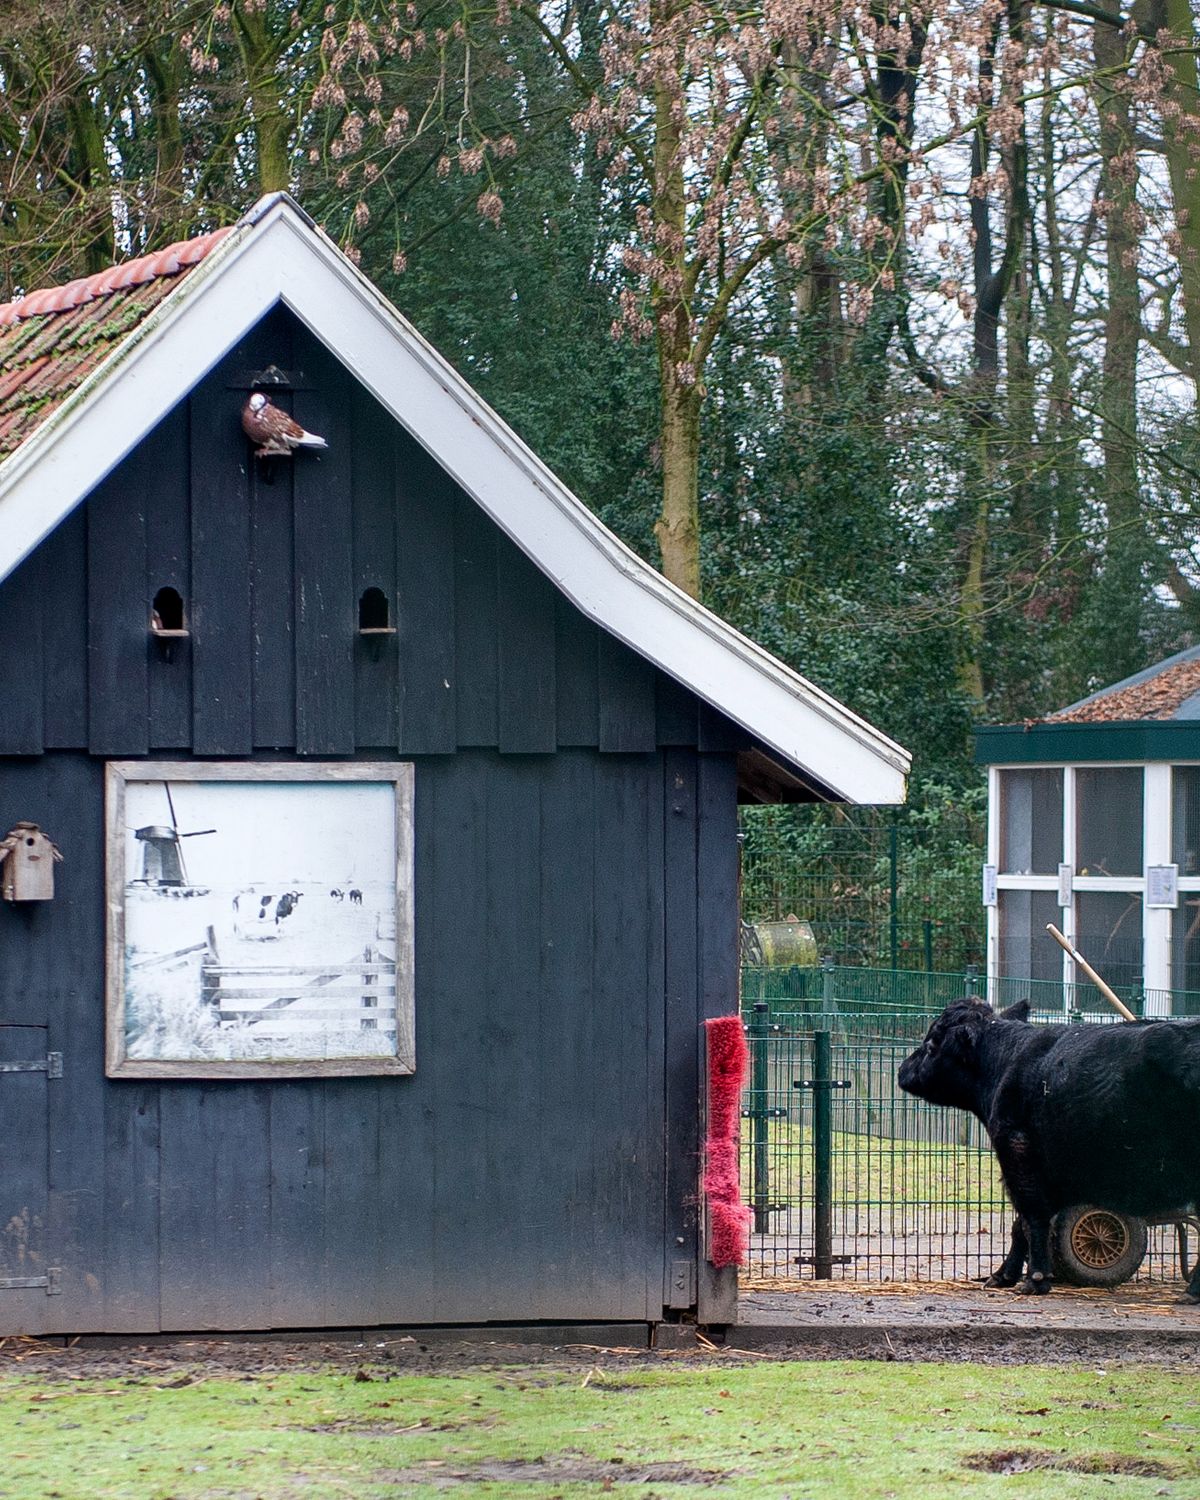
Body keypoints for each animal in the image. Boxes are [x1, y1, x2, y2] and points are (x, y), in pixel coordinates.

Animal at [894, 996, 1200, 1302]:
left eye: (932, 1043)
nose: (902, 1069)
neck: (1006, 1062)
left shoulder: (1017, 1152)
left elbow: (1031, 1218)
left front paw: (1035, 1278)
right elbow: (1020, 1224)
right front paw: (1004, 1275)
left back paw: (1192, 1291)